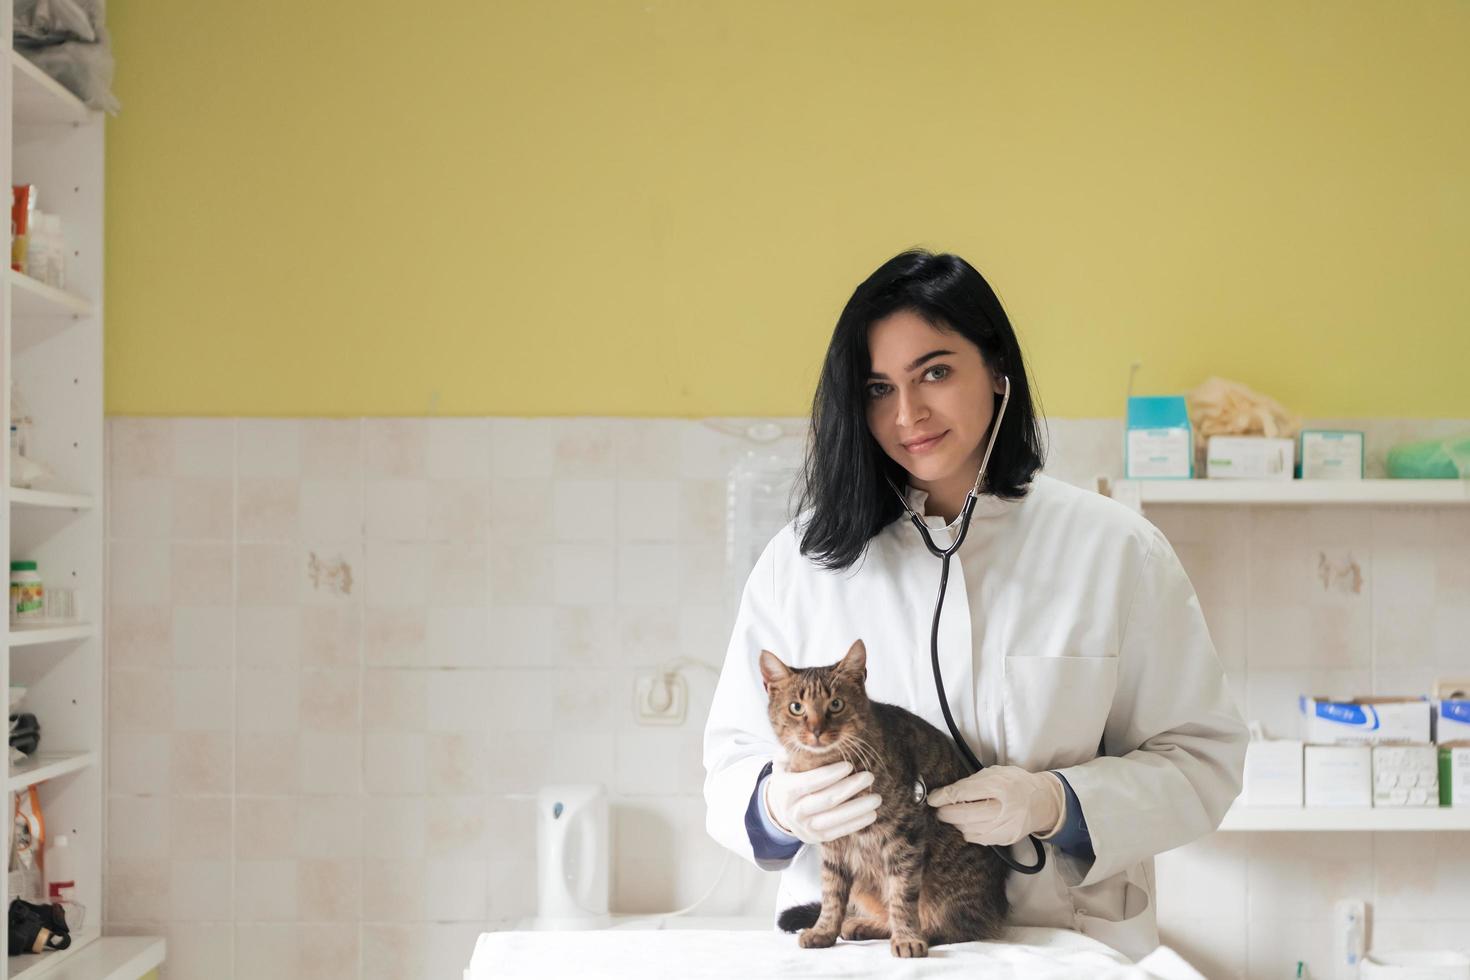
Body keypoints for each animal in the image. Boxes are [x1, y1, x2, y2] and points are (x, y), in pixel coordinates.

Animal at [758, 637, 1011, 957]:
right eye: (796, 707)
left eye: (836, 704)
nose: (816, 730)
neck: (828, 763)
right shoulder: (832, 842)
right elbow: (831, 894)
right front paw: (824, 931)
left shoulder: (905, 836)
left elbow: (902, 896)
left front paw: (907, 938)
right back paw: (858, 925)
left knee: (955, 927)